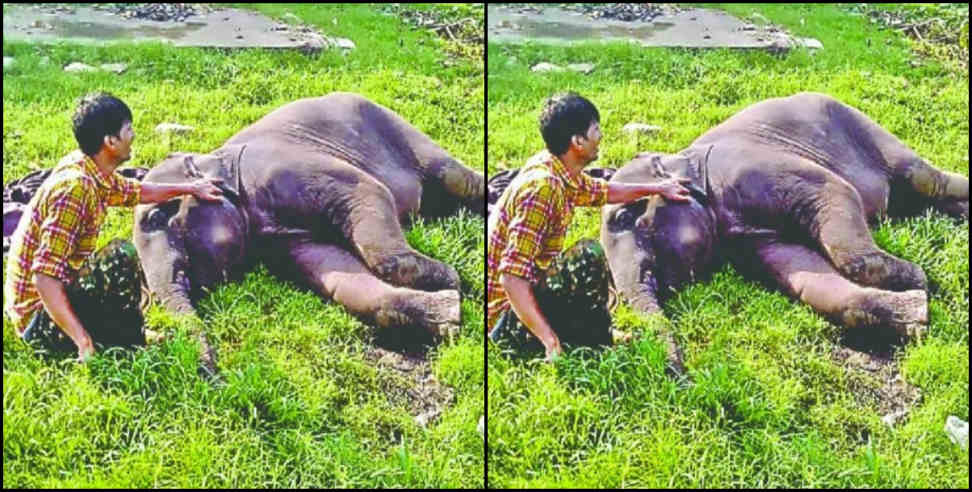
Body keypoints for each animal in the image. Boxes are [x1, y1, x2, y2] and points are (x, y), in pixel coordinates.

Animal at [131, 91, 486, 346]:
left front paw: (452, 278)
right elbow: (338, 275)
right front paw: (450, 312)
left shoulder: (286, 167)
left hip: (397, 126)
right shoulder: (281, 239)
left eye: (159, 215)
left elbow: (370, 192)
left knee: (453, 175)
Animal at [604, 91, 968, 368]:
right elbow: (805, 275)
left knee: (926, 178)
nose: (680, 372)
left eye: (627, 217)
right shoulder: (747, 237)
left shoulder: (751, 167)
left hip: (864, 126)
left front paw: (919, 278)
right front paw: (917, 312)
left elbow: (837, 192)